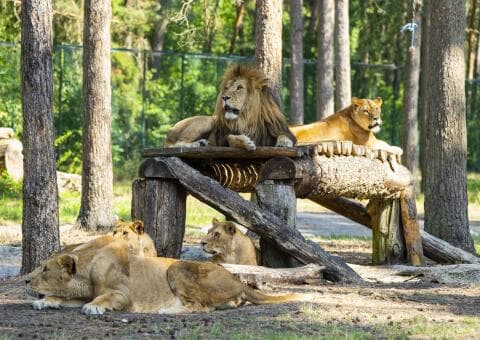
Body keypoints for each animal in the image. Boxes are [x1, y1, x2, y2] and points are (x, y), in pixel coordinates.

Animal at [27, 240, 312, 314]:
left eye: (44, 269)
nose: (26, 280)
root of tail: (237, 279)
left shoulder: (123, 295)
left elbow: (102, 298)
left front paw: (93, 308)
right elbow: (63, 298)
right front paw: (45, 301)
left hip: (176, 268)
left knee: (202, 308)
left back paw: (166, 311)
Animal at [165, 63, 296, 149]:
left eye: (239, 88)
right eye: (227, 88)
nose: (224, 97)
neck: (247, 119)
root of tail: (169, 130)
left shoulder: (277, 128)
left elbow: (284, 135)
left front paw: (284, 142)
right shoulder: (224, 137)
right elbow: (231, 138)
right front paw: (245, 142)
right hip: (208, 120)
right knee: (174, 145)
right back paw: (196, 144)